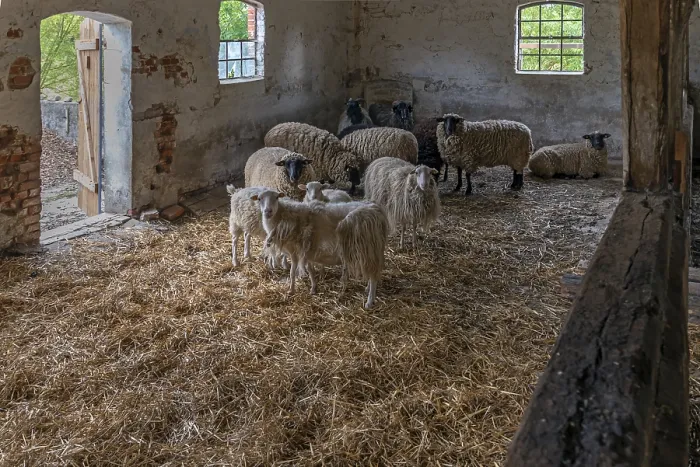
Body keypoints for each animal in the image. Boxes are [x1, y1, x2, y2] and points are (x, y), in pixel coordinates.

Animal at [251, 190, 389, 308]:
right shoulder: (305, 252)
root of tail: (376, 210)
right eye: (259, 199)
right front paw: (312, 288)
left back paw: (369, 301)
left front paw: (292, 289)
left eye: (276, 197)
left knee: (373, 275)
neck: (283, 217)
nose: (267, 211)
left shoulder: (296, 251)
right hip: (373, 248)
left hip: (367, 247)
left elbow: (293, 272)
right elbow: (309, 271)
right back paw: (367, 289)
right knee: (373, 271)